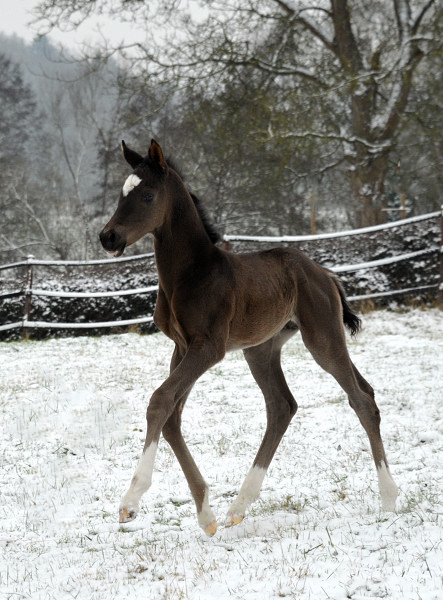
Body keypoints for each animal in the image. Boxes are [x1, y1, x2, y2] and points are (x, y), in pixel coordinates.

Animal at [99, 139, 398, 536]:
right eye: (122, 193)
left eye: (147, 195)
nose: (107, 237)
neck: (191, 273)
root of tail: (324, 273)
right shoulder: (182, 346)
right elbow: (173, 416)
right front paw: (206, 515)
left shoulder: (208, 347)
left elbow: (160, 401)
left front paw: (130, 502)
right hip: (261, 350)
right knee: (284, 405)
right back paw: (238, 507)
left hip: (322, 338)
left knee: (361, 399)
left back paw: (389, 497)